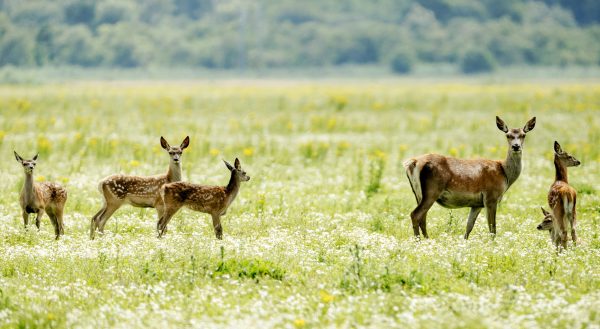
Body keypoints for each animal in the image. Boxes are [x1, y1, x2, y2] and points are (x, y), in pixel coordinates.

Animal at [404, 116, 540, 238]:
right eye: (508, 135)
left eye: (523, 135)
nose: (516, 146)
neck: (504, 173)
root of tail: (412, 162)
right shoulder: (491, 196)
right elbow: (492, 228)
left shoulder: (477, 204)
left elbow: (469, 227)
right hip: (432, 190)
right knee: (415, 214)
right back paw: (420, 241)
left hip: (418, 193)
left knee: (422, 217)